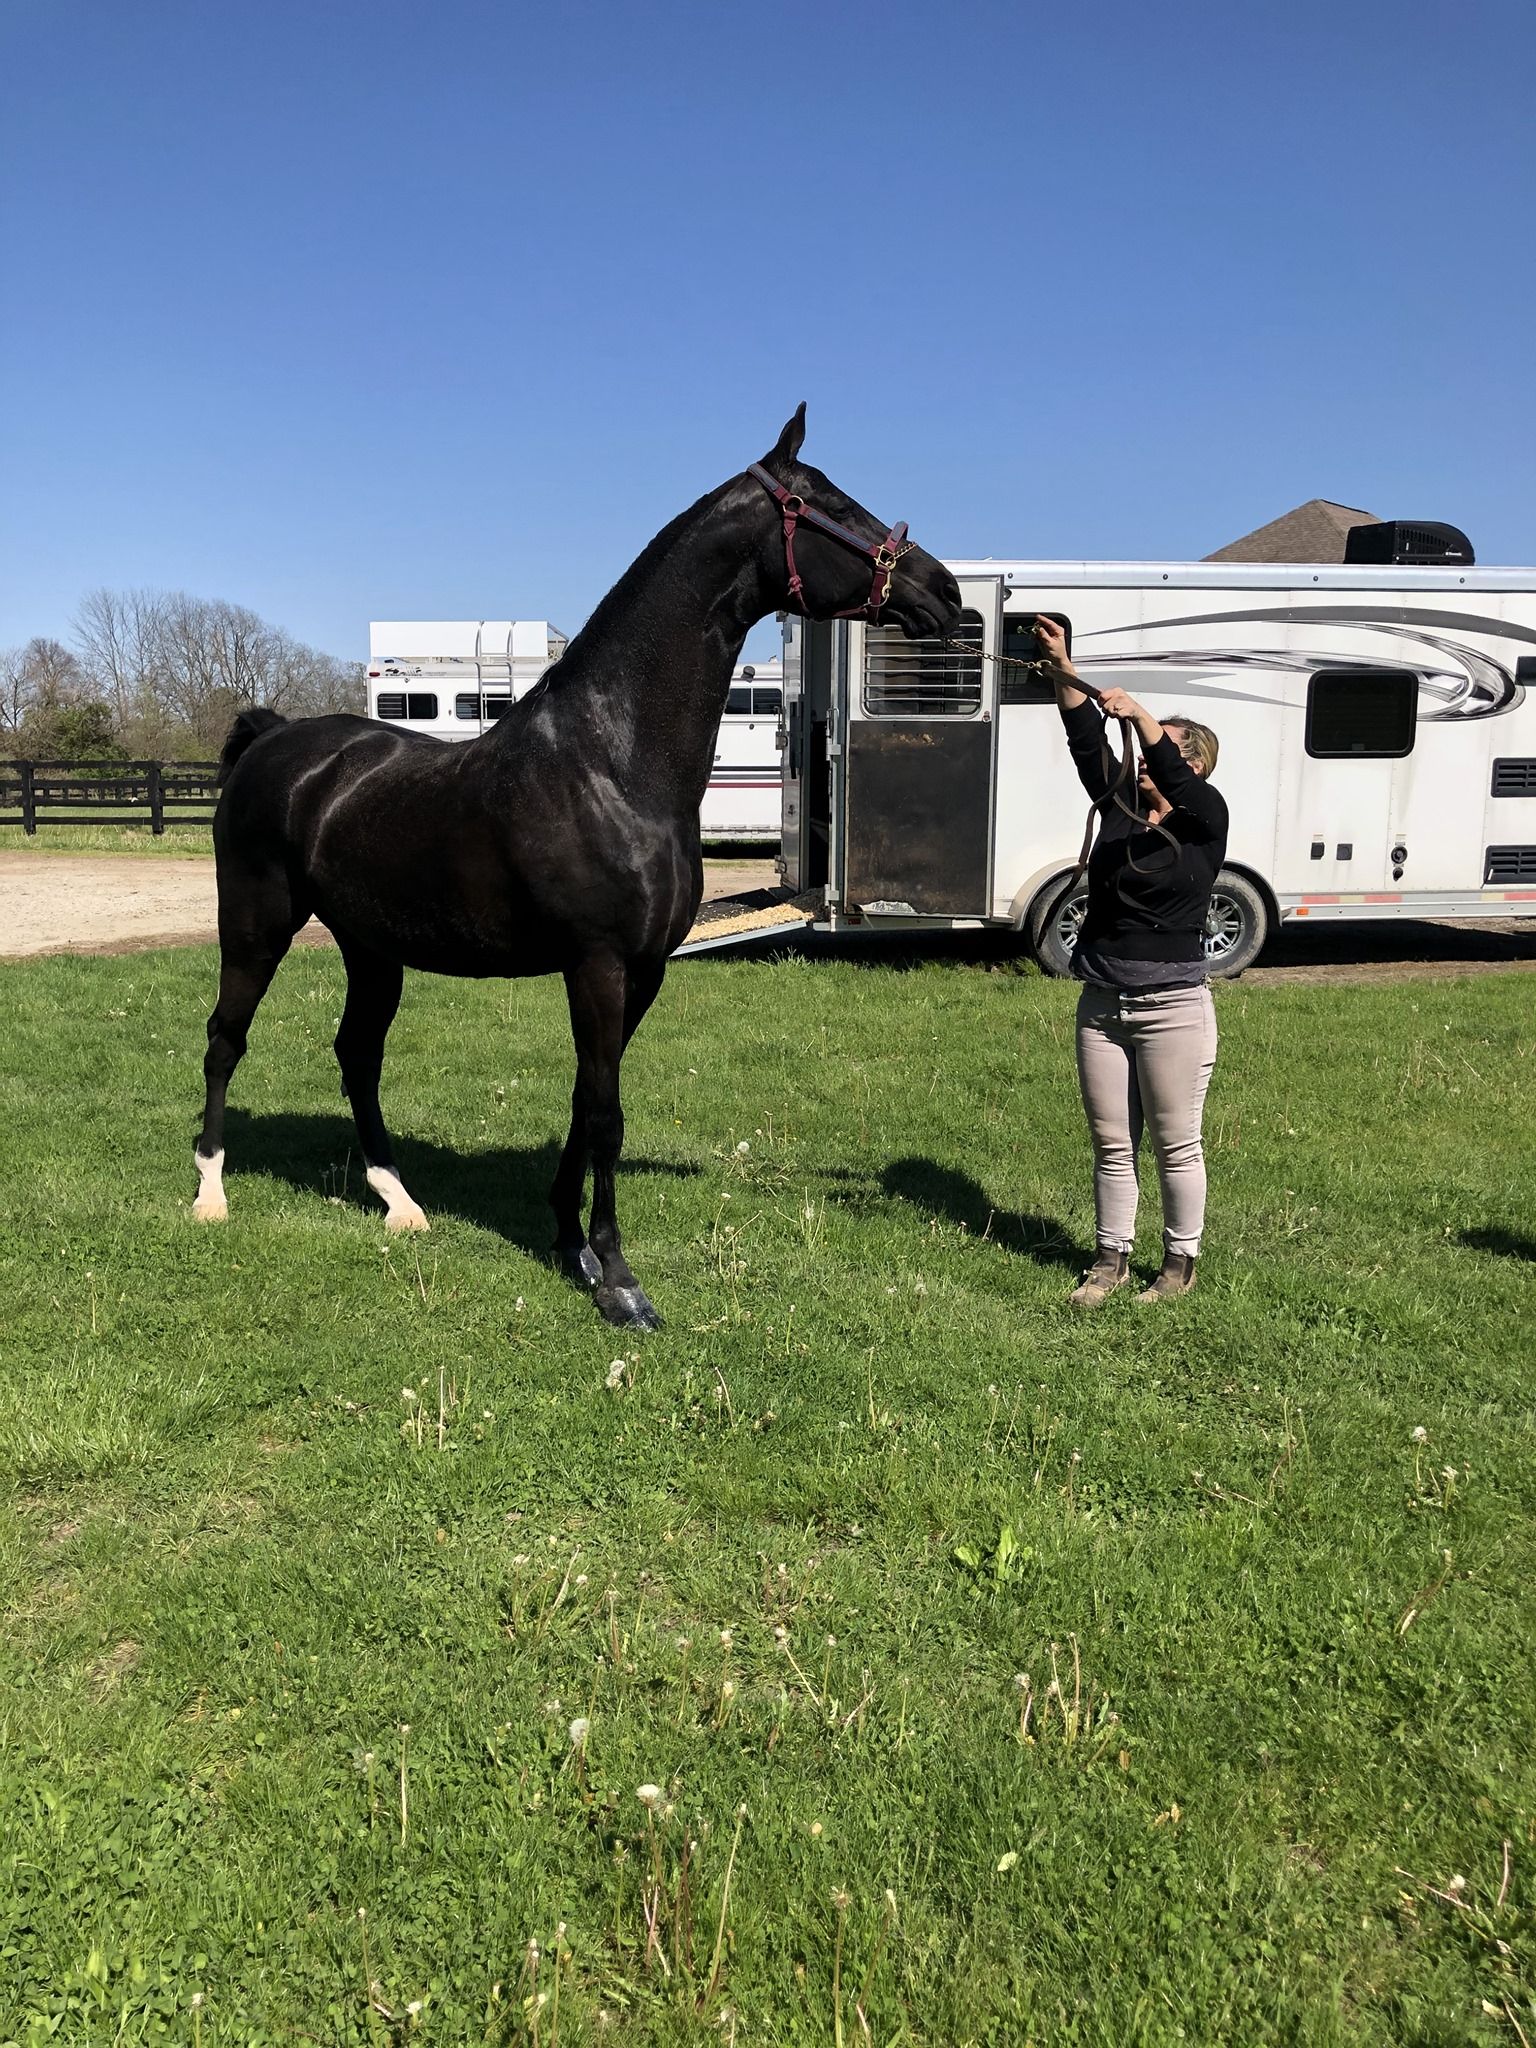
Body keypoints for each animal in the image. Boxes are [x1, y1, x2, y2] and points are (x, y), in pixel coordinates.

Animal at [192, 406, 962, 1329]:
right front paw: (620, 1281)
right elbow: (605, 1114)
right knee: (225, 1039)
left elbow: (582, 1099)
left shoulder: (644, 969)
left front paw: (570, 1243)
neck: (612, 762)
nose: (947, 593)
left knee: (357, 1055)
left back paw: (400, 1203)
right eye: (829, 505)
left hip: (372, 948)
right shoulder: (595, 964)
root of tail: (274, 742)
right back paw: (209, 1193)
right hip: (257, 926)